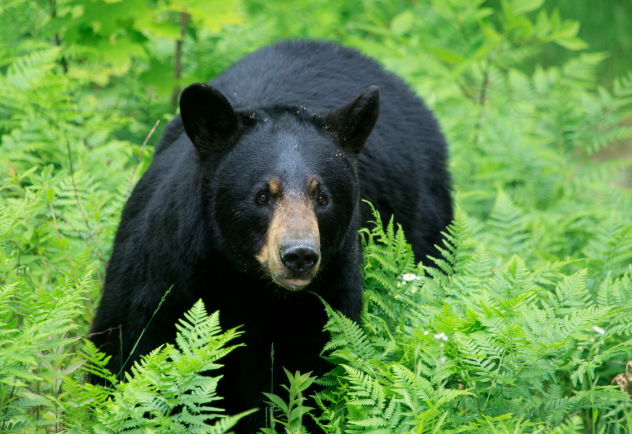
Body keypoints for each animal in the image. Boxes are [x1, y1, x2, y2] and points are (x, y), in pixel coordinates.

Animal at [91, 39, 452, 430]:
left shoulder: (323, 302)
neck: (246, 285)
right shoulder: (162, 275)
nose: (299, 255)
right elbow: (129, 350)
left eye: (322, 197)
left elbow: (304, 381)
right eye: (262, 195)